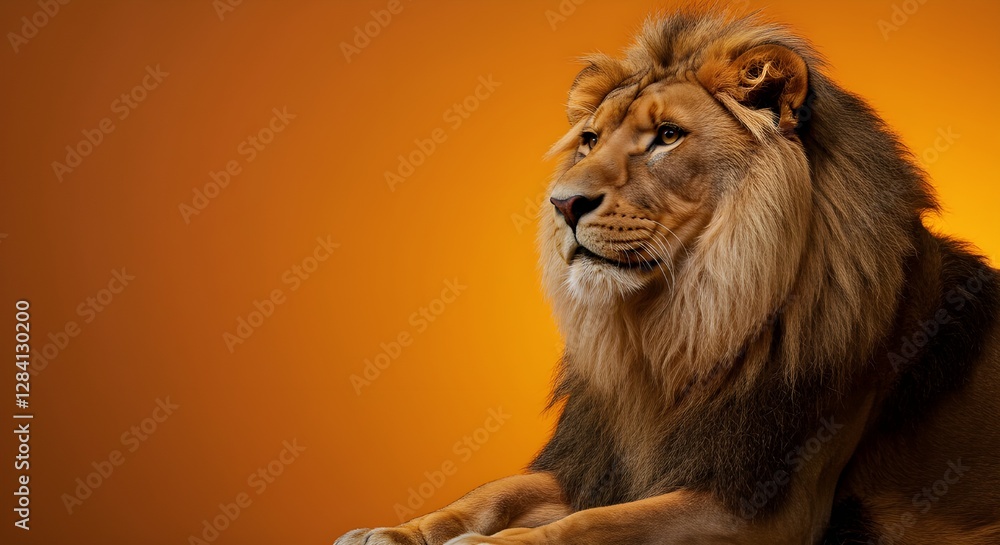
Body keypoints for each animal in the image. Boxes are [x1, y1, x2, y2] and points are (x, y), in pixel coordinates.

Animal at [336, 9, 1000, 545]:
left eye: (668, 137)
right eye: (589, 140)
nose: (562, 203)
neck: (675, 332)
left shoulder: (766, 503)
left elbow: (597, 525)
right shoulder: (606, 460)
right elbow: (497, 490)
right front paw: (395, 530)